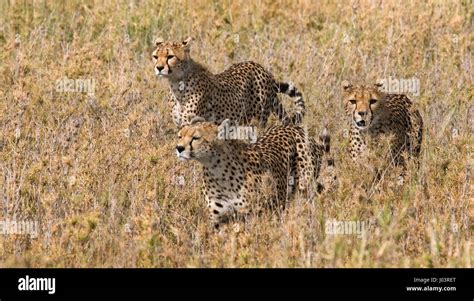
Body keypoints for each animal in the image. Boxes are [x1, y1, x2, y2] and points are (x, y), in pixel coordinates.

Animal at [154, 36, 306, 127]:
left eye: (170, 56)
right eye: (155, 56)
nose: (159, 68)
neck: (176, 83)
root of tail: (260, 67)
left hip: (258, 120)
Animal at [174, 116, 330, 226]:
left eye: (196, 138)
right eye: (180, 136)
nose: (179, 148)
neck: (217, 169)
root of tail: (294, 126)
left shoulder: (252, 215)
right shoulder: (217, 219)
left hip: (305, 187)